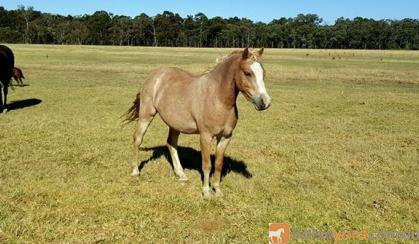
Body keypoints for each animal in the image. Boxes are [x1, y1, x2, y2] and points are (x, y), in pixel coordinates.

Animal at [125, 48, 272, 198]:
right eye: (248, 73)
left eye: (263, 73)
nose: (265, 102)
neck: (217, 98)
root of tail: (154, 75)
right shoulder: (205, 136)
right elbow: (207, 165)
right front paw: (206, 192)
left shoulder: (225, 137)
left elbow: (218, 164)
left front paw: (218, 190)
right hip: (146, 115)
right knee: (138, 139)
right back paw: (135, 171)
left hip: (174, 124)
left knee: (171, 143)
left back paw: (181, 175)